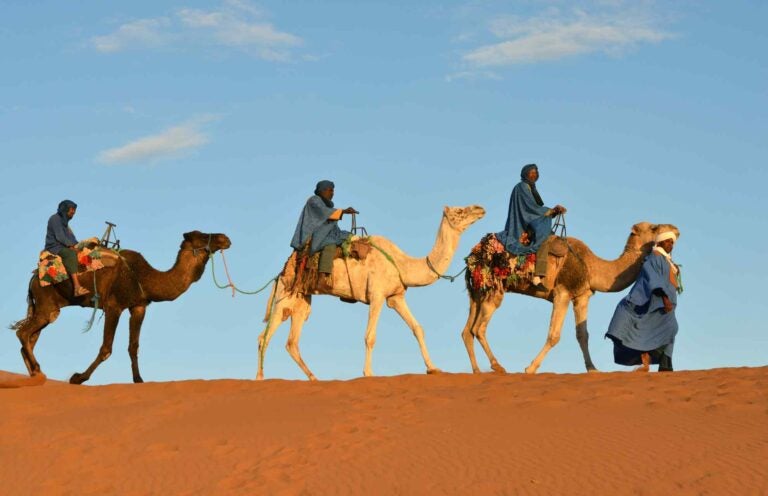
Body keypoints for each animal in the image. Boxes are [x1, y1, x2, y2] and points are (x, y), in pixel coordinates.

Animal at [11, 230, 231, 384]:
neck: (143, 278)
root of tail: (33, 278)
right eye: (202, 237)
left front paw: (139, 380)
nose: (225, 238)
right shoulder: (114, 306)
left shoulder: (139, 306)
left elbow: (133, 346)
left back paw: (35, 375)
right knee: (23, 333)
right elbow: (106, 348)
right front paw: (78, 377)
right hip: (45, 304)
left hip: (48, 310)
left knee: (29, 339)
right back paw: (38, 370)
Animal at [257, 205, 486, 380]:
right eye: (460, 211)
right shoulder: (376, 295)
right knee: (264, 337)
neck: (401, 264)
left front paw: (433, 368)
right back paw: (260, 378)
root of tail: (280, 273)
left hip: (300, 301)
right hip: (284, 297)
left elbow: (418, 328)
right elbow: (370, 336)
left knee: (292, 342)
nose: (480, 208)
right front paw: (368, 373)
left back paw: (313, 378)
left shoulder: (395, 297)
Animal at [460, 222, 679, 374]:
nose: (676, 230)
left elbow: (583, 335)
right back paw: (497, 366)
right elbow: (554, 335)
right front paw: (530, 368)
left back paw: (477, 371)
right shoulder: (562, 292)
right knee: (478, 328)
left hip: (477, 292)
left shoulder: (581, 296)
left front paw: (593, 369)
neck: (591, 266)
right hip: (494, 288)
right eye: (654, 227)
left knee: (467, 331)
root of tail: (473, 255)